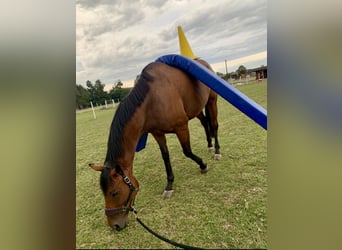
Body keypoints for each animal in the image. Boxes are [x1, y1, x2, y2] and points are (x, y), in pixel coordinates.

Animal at [89, 58, 220, 230]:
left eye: (114, 193)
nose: (115, 225)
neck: (152, 99)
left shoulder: (181, 127)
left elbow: (187, 151)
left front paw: (203, 165)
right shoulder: (157, 133)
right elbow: (165, 157)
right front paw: (169, 185)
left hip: (212, 101)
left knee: (214, 125)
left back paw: (217, 150)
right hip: (197, 108)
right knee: (205, 123)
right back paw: (210, 146)